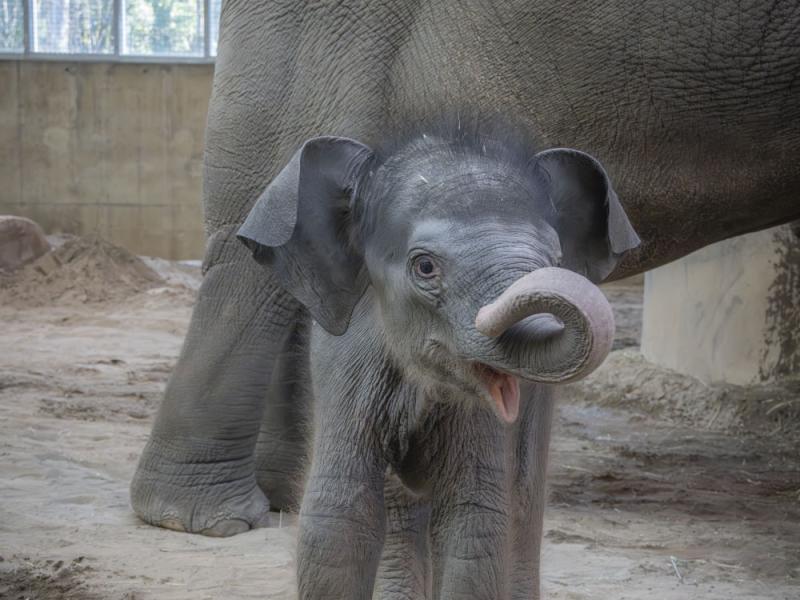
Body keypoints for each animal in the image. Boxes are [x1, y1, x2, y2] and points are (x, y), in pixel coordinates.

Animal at [230, 124, 636, 596]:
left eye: (556, 261)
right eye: (425, 267)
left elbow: (476, 518)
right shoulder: (344, 364)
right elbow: (338, 513)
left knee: (522, 495)